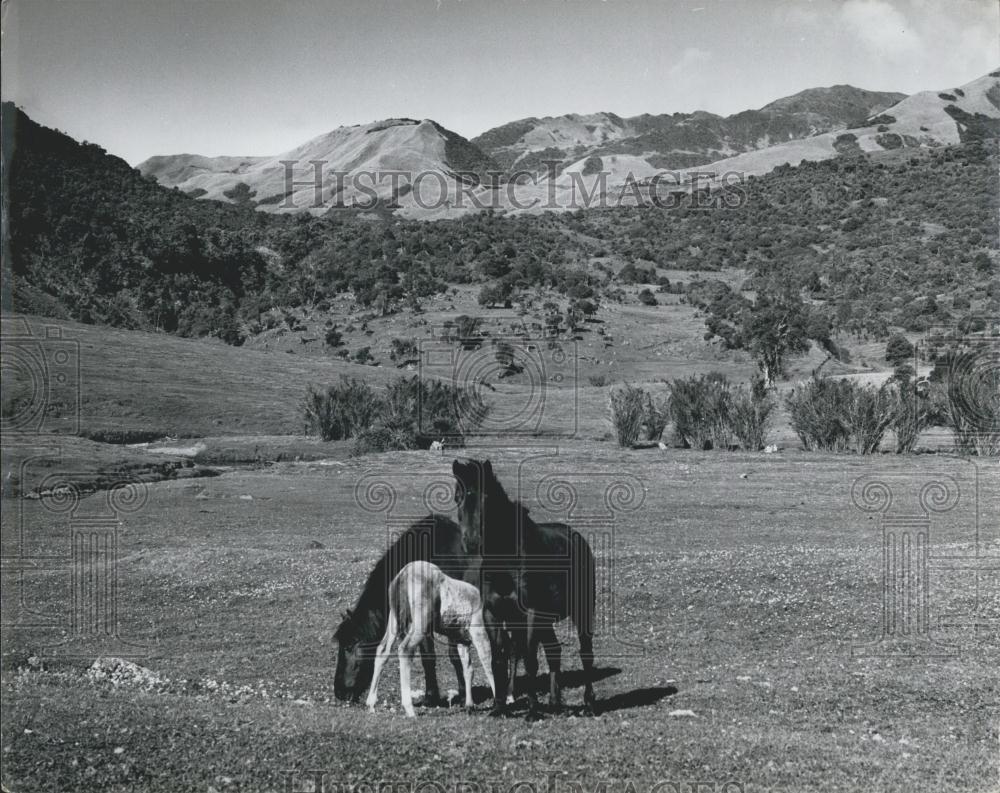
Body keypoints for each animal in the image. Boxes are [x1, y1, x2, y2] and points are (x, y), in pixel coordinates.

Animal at [334, 516, 478, 704]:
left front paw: (461, 695)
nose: (339, 692)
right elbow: (427, 657)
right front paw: (431, 696)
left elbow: (453, 656)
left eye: (350, 645)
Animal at [454, 458, 592, 716]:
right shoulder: (492, 614)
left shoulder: (529, 613)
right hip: (546, 620)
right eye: (458, 497)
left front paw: (532, 710)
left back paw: (588, 704)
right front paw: (499, 708)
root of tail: (576, 537)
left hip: (582, 611)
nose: (471, 542)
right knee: (554, 651)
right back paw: (554, 703)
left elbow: (529, 659)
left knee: (586, 651)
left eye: (486, 496)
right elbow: (497, 660)